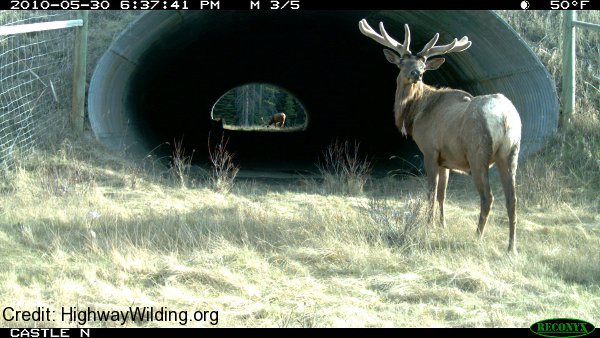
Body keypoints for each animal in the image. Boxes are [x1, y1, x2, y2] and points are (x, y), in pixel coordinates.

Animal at [358, 19, 524, 254]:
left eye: (423, 66)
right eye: (402, 62)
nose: (416, 73)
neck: (416, 112)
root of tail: (505, 117)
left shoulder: (430, 150)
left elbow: (430, 191)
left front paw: (428, 224)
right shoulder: (446, 159)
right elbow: (442, 194)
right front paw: (442, 224)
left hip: (478, 151)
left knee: (487, 197)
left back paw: (477, 237)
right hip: (511, 152)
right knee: (513, 199)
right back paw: (512, 247)